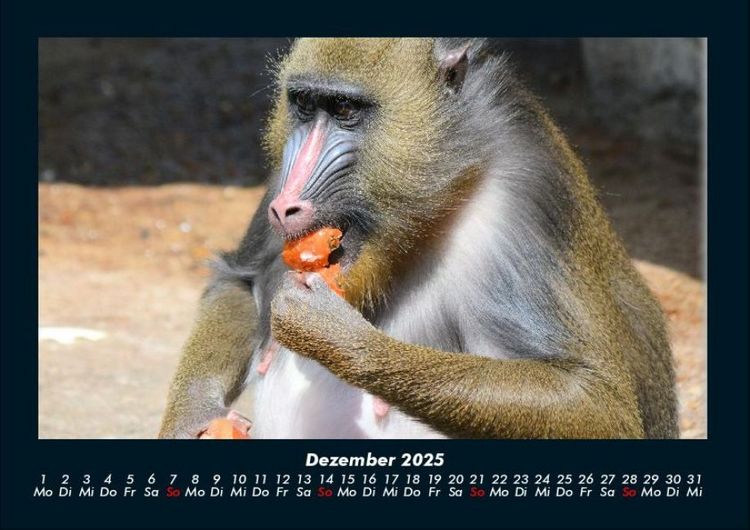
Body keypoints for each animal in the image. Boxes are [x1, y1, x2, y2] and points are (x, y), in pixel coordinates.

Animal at [159, 38, 678, 439]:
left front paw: (341, 338)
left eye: (344, 109)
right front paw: (196, 420)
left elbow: (596, 403)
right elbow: (239, 281)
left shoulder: (526, 200)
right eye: (304, 106)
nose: (286, 206)